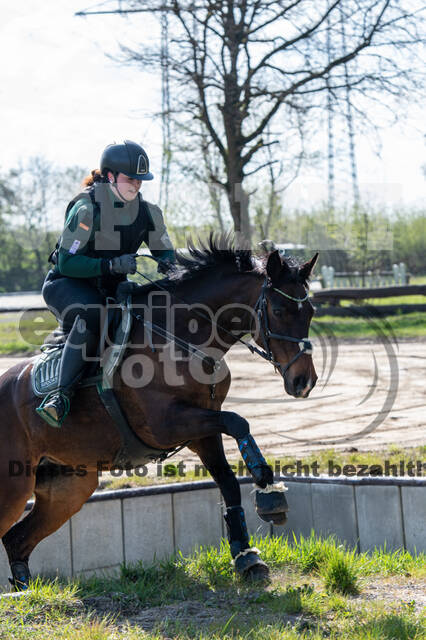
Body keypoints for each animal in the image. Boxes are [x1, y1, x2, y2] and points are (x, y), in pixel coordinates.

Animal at [0, 236, 318, 592]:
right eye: (278, 310)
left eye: (310, 311)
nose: (304, 382)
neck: (182, 338)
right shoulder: (164, 425)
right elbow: (239, 421)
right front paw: (268, 492)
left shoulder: (204, 428)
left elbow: (229, 478)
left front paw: (247, 555)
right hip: (12, 486)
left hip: (68, 487)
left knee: (17, 540)